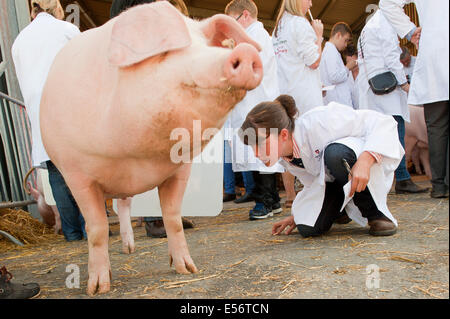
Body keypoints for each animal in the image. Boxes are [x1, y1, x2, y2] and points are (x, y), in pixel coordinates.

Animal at [40, 1, 264, 298]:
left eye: (207, 44)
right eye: (166, 51)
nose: (246, 51)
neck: (134, 158)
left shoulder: (180, 170)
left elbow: (174, 219)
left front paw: (188, 270)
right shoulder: (77, 173)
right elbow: (97, 228)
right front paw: (98, 288)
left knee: (124, 205)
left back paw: (130, 249)